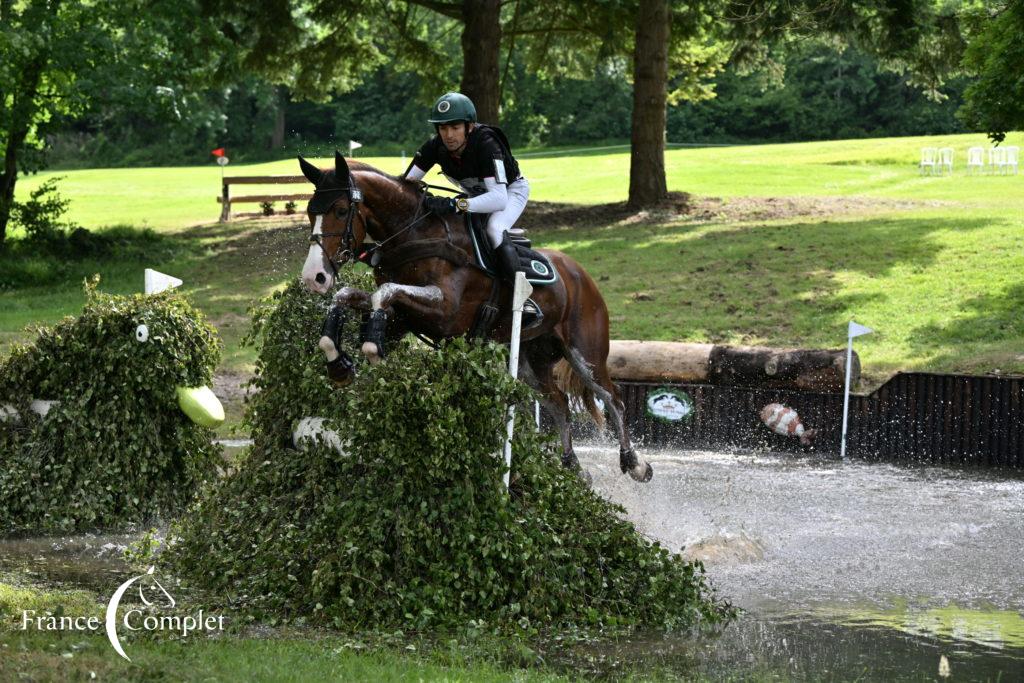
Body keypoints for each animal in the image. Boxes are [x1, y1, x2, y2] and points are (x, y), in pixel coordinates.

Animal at [296, 152, 655, 483]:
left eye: (341, 211)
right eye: (311, 212)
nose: (315, 278)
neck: (414, 234)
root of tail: (581, 274)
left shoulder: (445, 310)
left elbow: (382, 293)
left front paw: (373, 352)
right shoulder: (404, 316)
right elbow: (354, 297)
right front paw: (339, 363)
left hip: (585, 351)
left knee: (612, 397)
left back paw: (635, 463)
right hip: (530, 359)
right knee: (559, 403)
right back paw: (573, 470)